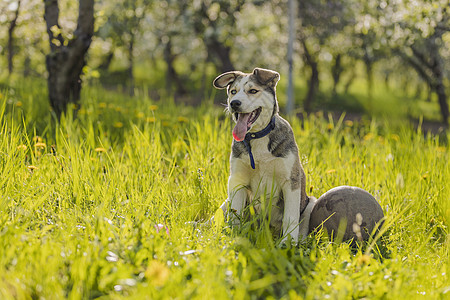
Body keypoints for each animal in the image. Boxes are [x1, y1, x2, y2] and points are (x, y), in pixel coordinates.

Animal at [214, 68, 316, 244]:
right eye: (233, 92)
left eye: (253, 91)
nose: (234, 103)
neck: (257, 136)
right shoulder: (236, 179)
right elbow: (235, 213)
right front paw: (233, 236)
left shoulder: (291, 180)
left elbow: (290, 217)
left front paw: (287, 242)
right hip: (227, 200)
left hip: (311, 202)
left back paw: (299, 241)